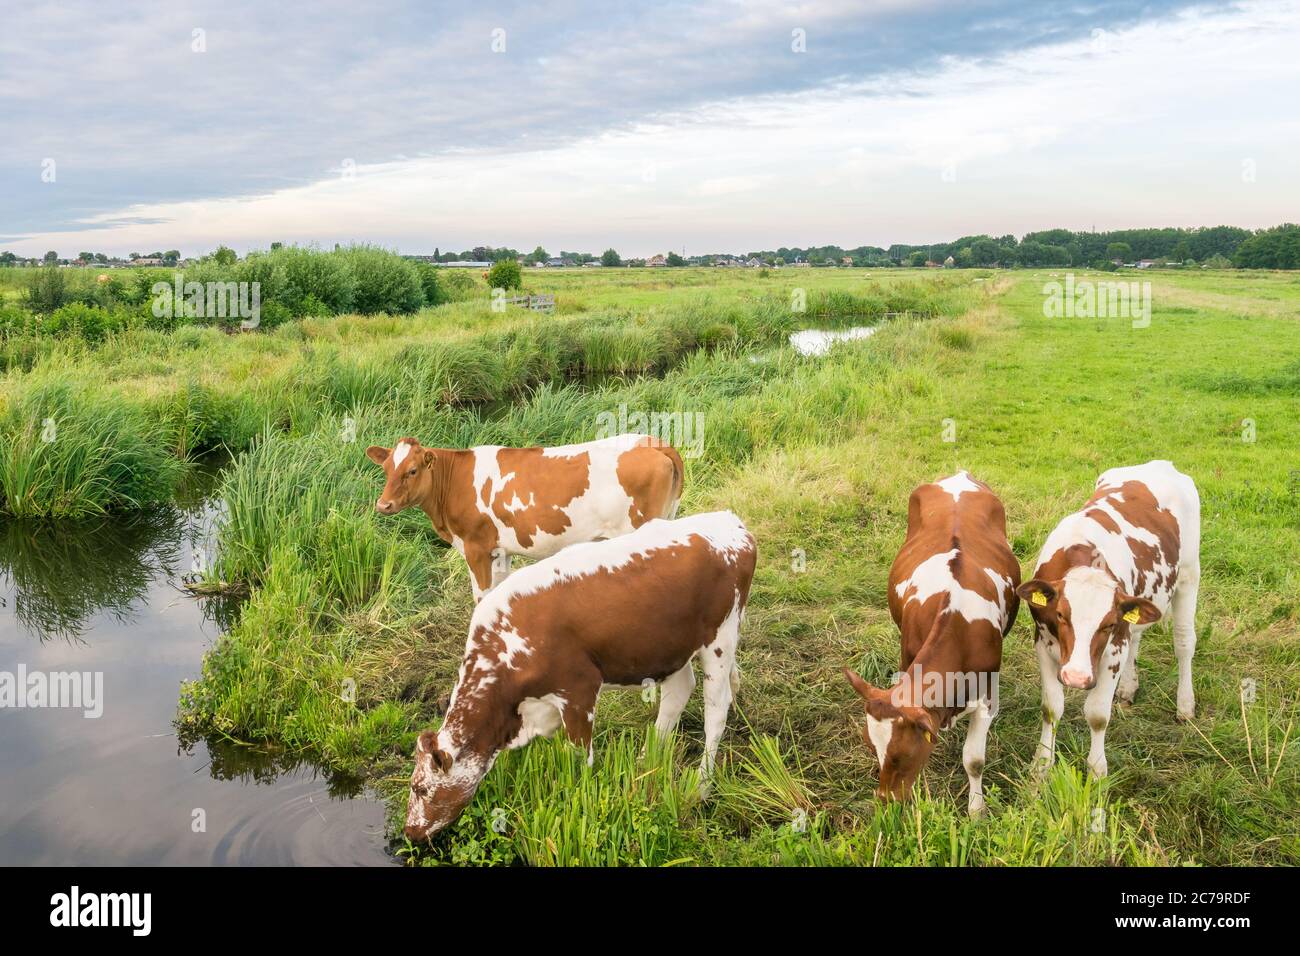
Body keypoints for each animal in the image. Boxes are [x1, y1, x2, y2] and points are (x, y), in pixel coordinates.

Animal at [367, 434, 683, 601]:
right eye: (386, 469)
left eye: (412, 470)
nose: (383, 504)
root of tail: (653, 441)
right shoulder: (499, 551)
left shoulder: (476, 548)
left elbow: (481, 597)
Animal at [402, 510, 757, 842]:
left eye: (420, 788)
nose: (410, 831)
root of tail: (729, 521)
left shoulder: (579, 689)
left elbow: (578, 757)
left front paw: (580, 796)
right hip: (671, 645)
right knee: (679, 692)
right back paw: (646, 759)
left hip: (720, 639)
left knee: (716, 711)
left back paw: (702, 786)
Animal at [844, 472, 1019, 815]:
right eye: (871, 747)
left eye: (901, 755)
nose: (887, 801)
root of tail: (960, 475)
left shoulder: (986, 696)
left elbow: (974, 760)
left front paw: (976, 810)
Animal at [1018, 460, 1200, 780]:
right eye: (1061, 614)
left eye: (1107, 624)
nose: (1076, 677)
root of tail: (1159, 464)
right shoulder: (1043, 642)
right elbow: (1051, 707)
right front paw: (1041, 766)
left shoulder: (1114, 647)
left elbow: (1098, 715)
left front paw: (1097, 770)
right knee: (1137, 637)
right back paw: (1128, 688)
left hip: (1189, 576)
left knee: (1184, 643)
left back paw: (1185, 705)